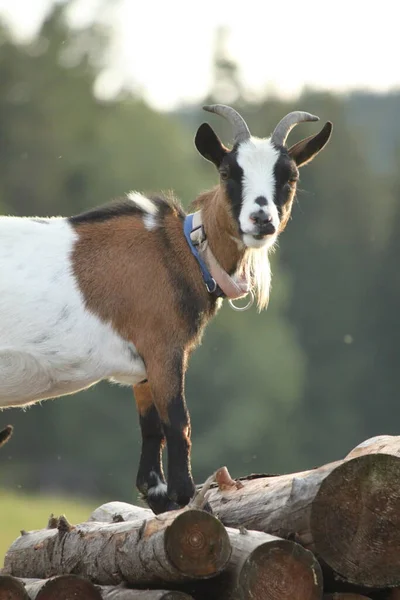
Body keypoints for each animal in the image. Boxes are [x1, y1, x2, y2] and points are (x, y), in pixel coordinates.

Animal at [0, 105, 332, 512]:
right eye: (227, 172)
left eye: (290, 175)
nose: (261, 219)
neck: (182, 251)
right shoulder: (164, 348)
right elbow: (178, 424)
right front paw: (187, 499)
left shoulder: (143, 367)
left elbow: (151, 439)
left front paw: (160, 498)